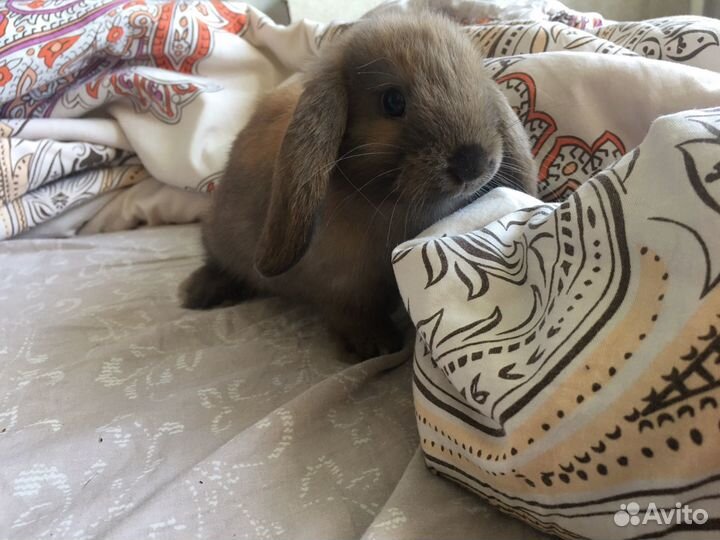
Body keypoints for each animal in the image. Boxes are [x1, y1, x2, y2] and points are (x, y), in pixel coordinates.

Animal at [181, 12, 537, 359]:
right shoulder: (342, 290)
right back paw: (200, 293)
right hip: (219, 238)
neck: (385, 200)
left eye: (478, 85)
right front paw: (376, 346)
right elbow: (352, 315)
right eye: (392, 101)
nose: (472, 164)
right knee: (217, 262)